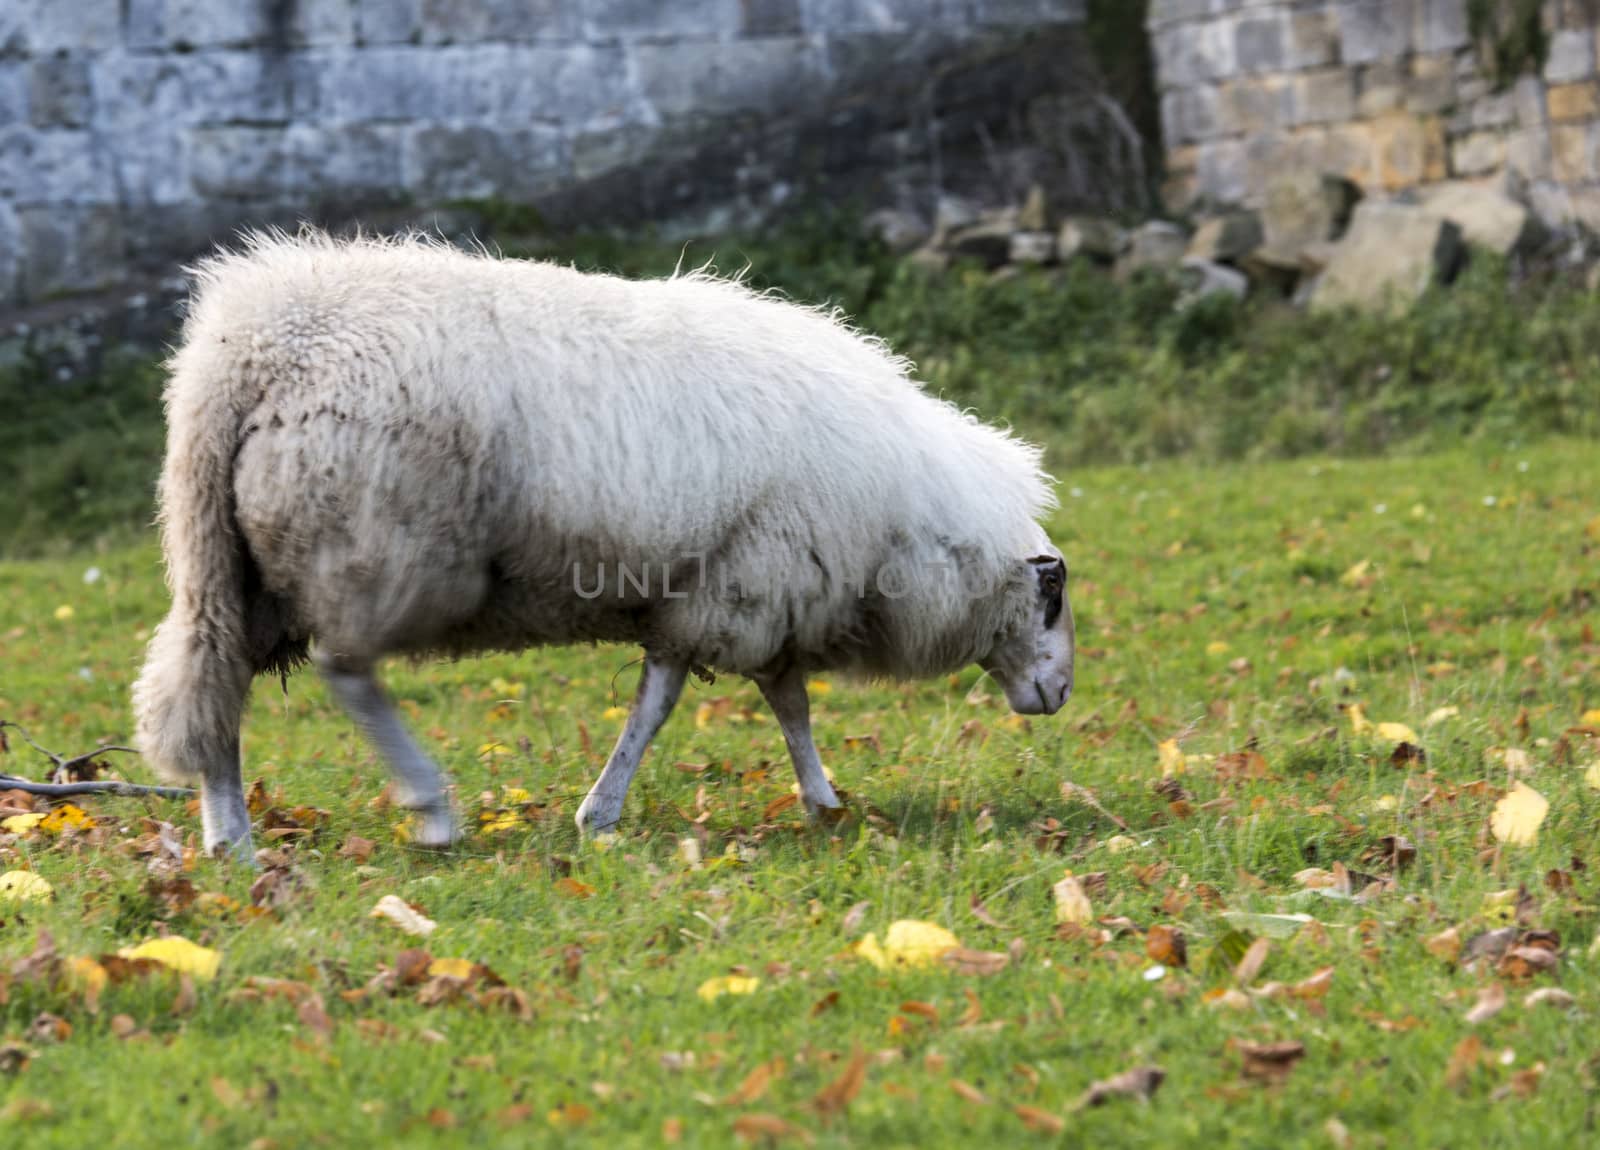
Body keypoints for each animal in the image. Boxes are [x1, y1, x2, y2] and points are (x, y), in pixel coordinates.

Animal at [128, 231, 1075, 857]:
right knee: (346, 672)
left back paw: (230, 836)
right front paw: (617, 812)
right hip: (374, 545)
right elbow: (713, 705)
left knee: (215, 681)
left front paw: (812, 798)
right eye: (1053, 595)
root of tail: (250, 347)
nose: (1059, 693)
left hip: (233, 564)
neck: (916, 521)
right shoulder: (747, 587)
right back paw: (432, 810)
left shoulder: (734, 594)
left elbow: (752, 699)